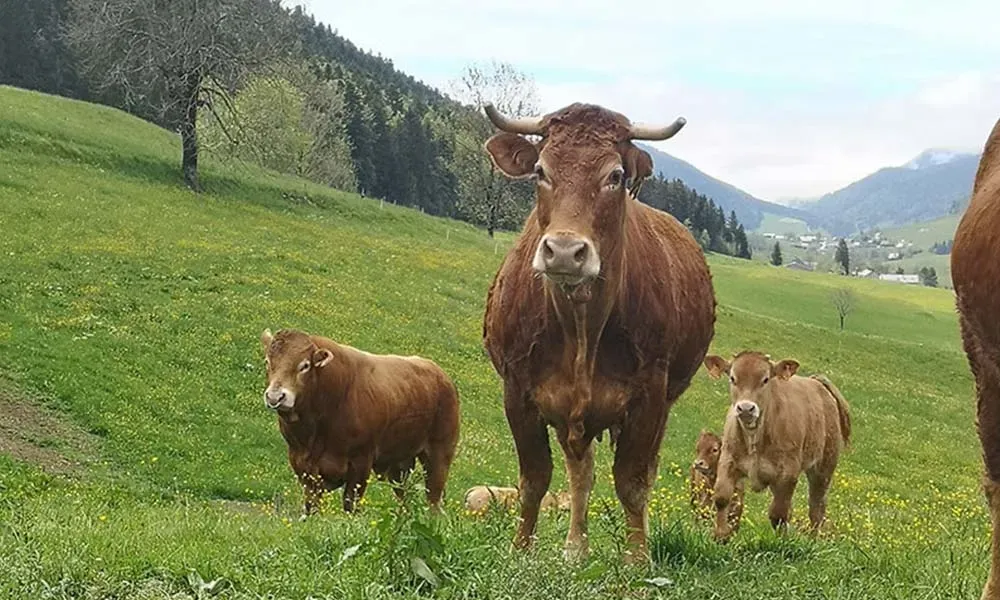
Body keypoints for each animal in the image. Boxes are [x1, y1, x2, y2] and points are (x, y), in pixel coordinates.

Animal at [259, 328, 460, 516]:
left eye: (305, 365)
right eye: (267, 362)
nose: (275, 397)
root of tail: (440, 374)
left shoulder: (361, 461)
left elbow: (351, 504)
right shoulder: (301, 463)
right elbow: (311, 505)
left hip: (439, 453)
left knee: (433, 498)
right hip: (399, 463)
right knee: (404, 495)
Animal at [480, 102, 717, 563]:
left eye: (616, 176)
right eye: (540, 170)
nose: (565, 252)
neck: (580, 327)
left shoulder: (649, 396)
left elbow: (633, 482)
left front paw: (637, 558)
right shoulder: (517, 390)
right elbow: (535, 479)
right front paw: (521, 548)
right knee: (581, 471)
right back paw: (575, 547)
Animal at [703, 351, 851, 543]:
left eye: (765, 379)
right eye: (732, 378)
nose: (746, 408)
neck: (755, 438)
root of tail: (817, 383)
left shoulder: (788, 473)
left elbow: (778, 514)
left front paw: (782, 542)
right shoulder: (728, 460)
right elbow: (721, 498)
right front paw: (721, 536)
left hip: (824, 467)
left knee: (816, 506)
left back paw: (813, 540)